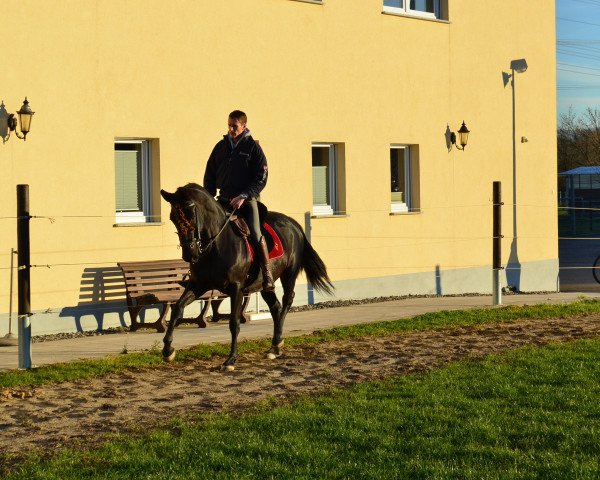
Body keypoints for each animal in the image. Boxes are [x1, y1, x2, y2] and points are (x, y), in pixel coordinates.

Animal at [159, 185, 332, 372]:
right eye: (172, 218)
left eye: (191, 213)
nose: (189, 254)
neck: (216, 246)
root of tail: (294, 225)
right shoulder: (198, 285)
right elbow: (177, 309)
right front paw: (168, 350)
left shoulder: (236, 288)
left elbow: (234, 322)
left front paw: (230, 359)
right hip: (264, 285)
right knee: (276, 306)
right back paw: (274, 347)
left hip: (289, 274)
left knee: (287, 300)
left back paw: (277, 342)